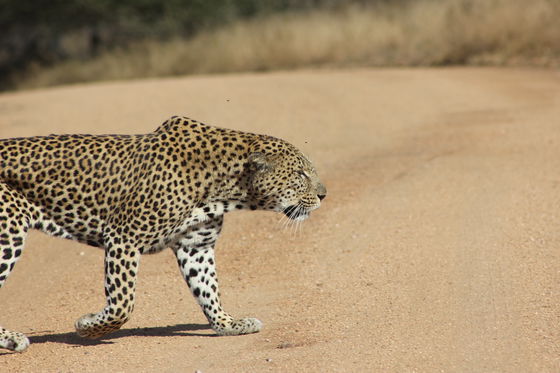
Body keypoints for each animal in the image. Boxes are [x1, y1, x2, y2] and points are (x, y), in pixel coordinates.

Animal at [0, 115, 324, 350]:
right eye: (301, 174)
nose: (324, 194)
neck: (225, 187)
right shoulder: (123, 237)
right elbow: (123, 302)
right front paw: (88, 327)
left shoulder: (196, 245)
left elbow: (208, 289)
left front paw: (227, 325)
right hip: (8, 233)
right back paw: (13, 339)